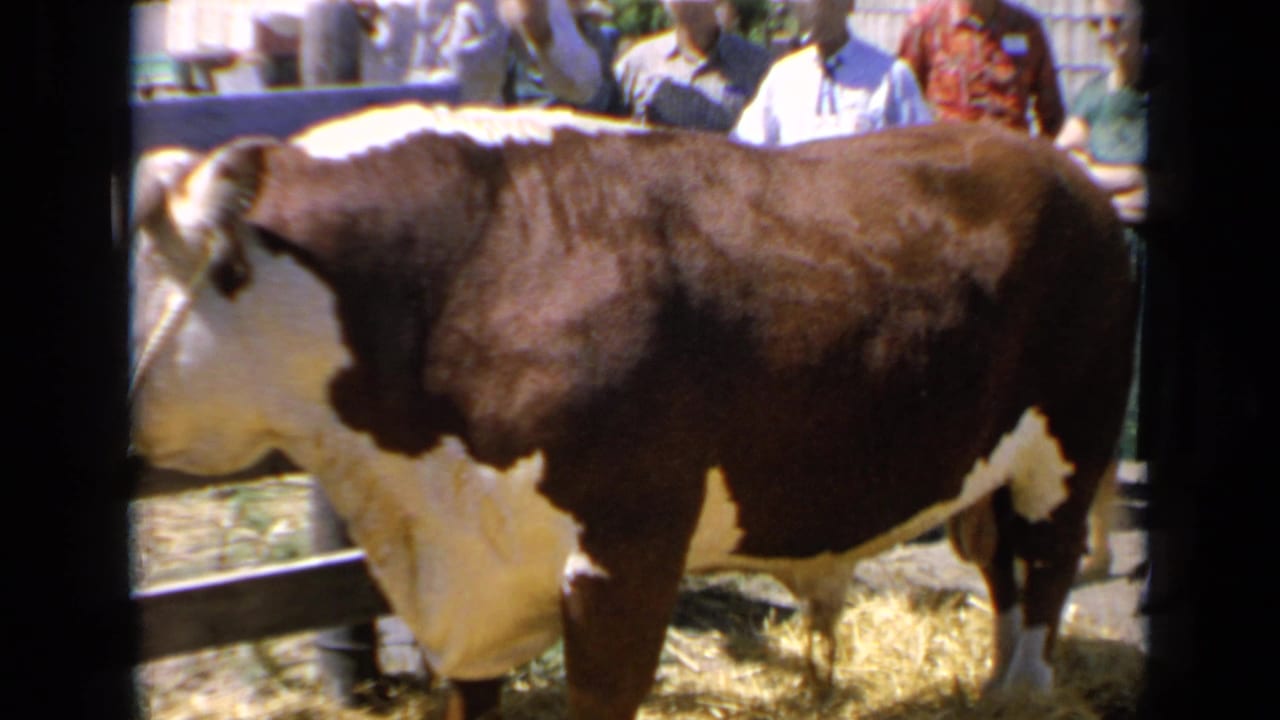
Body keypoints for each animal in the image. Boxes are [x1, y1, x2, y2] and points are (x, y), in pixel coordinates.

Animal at [128, 101, 1137, 720]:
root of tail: (1065, 170)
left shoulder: (627, 555)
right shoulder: (470, 580)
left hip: (1071, 446)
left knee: (1045, 577)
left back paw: (1020, 692)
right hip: (996, 468)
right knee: (1004, 576)